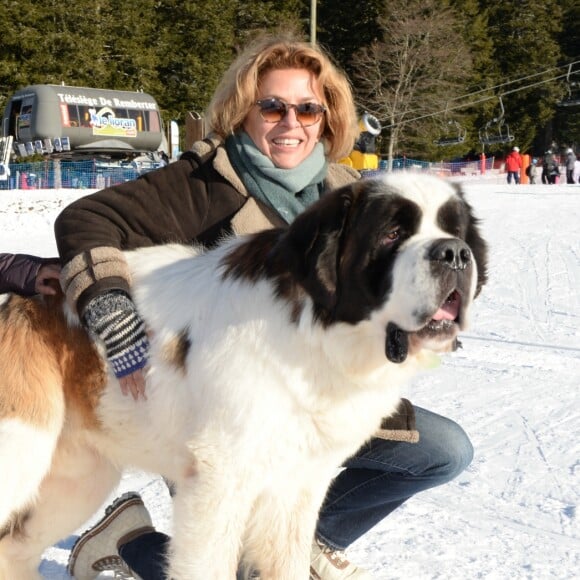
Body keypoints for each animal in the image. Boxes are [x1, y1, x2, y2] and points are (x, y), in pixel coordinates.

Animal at [1, 173, 484, 580]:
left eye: (458, 234)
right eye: (392, 233)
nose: (454, 253)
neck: (315, 334)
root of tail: (22, 298)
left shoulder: (298, 484)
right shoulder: (218, 482)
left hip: (81, 477)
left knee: (16, 548)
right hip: (23, 451)